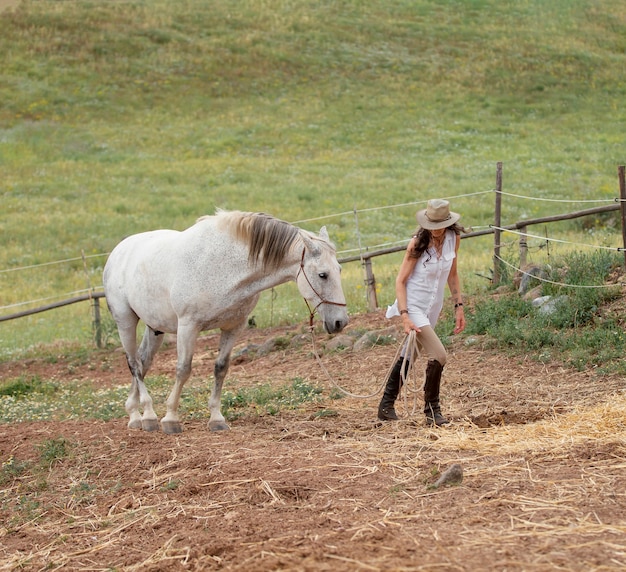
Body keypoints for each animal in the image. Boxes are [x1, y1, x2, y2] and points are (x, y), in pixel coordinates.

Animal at [102, 210, 346, 434]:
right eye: (323, 274)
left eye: (339, 269)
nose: (340, 321)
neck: (223, 265)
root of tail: (117, 252)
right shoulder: (188, 326)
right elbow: (183, 369)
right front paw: (171, 418)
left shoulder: (233, 327)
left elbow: (221, 368)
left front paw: (216, 418)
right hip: (125, 321)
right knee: (134, 363)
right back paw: (147, 416)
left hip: (155, 328)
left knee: (143, 362)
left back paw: (137, 414)